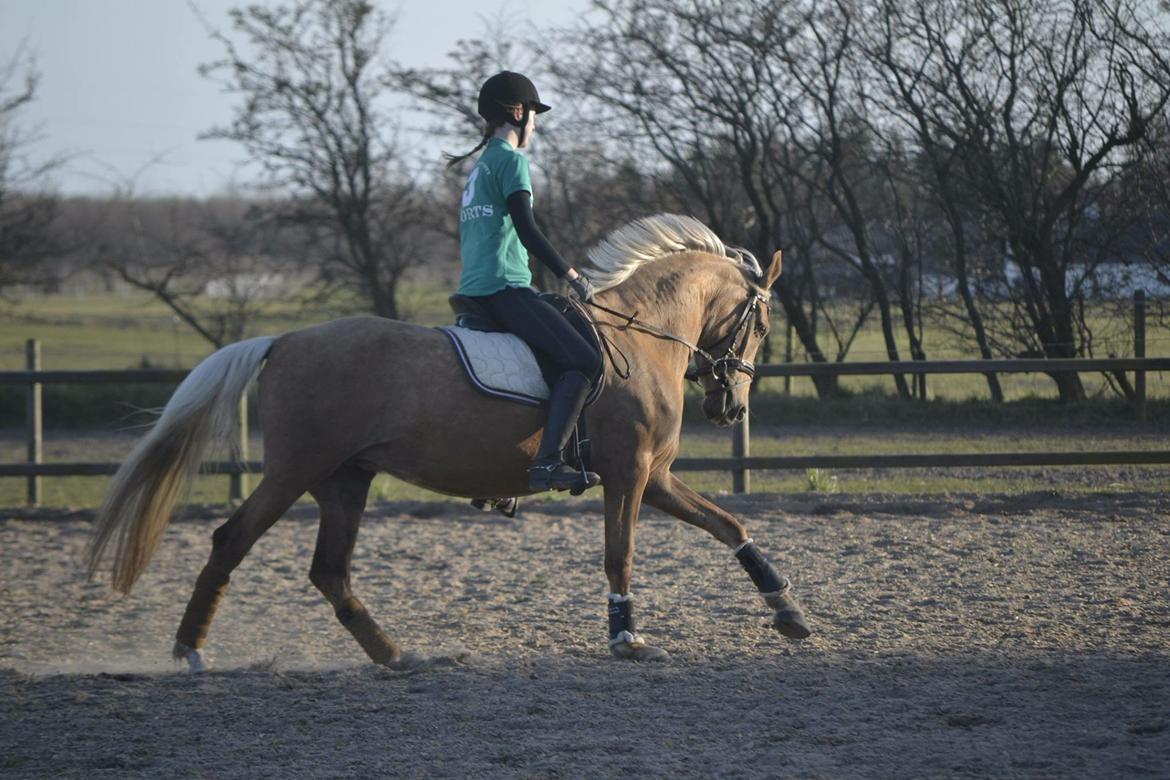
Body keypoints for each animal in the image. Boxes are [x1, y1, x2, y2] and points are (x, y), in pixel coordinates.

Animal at [86, 215, 809, 673]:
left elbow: (728, 523)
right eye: (763, 323)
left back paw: (397, 656)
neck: (642, 335)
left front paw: (788, 611)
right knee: (232, 541)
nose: (730, 405)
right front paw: (627, 638)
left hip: (345, 480)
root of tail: (282, 341)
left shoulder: (653, 477)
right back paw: (191, 651)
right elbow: (620, 556)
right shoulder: (630, 475)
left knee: (330, 571)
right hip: (294, 471)